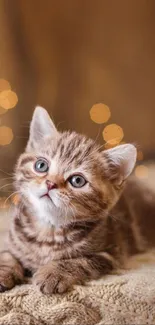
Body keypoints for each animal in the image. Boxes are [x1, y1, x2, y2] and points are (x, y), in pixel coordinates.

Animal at [0, 106, 154, 294]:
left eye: (77, 180)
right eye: (41, 165)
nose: (50, 183)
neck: (47, 230)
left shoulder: (110, 254)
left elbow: (79, 261)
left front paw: (53, 273)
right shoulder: (10, 242)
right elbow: (7, 255)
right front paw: (4, 271)